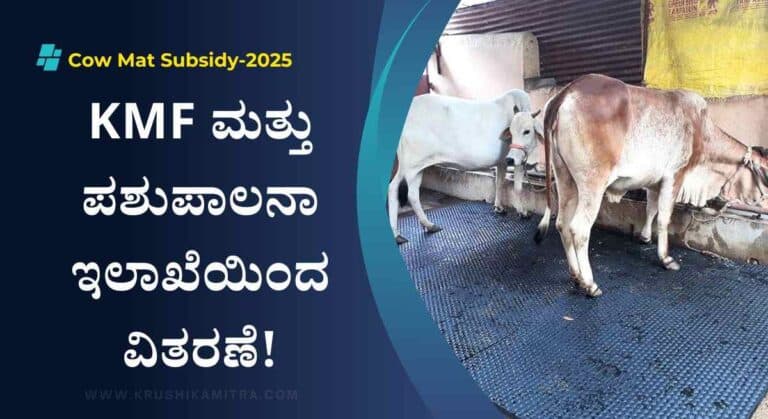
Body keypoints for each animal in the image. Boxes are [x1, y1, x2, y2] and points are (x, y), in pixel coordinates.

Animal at [388, 89, 532, 244]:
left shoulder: (502, 161)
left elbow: (499, 182)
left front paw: (499, 207)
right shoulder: (517, 158)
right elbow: (517, 186)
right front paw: (523, 212)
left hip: (413, 166)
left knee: (401, 189)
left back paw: (410, 230)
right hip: (411, 164)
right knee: (405, 191)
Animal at [518, 74, 768, 297]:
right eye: (765, 172)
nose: (763, 203)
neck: (701, 133)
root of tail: (567, 91)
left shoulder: (654, 181)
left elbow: (651, 209)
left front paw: (645, 237)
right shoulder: (674, 175)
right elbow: (664, 218)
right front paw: (665, 258)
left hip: (565, 178)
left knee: (561, 223)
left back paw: (576, 275)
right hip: (592, 182)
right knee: (579, 228)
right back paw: (590, 284)